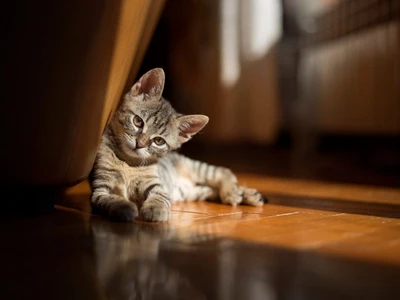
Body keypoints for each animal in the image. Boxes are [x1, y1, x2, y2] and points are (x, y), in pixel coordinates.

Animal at [92, 68, 264, 223]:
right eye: (138, 121)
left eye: (159, 141)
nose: (139, 144)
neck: (128, 162)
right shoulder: (100, 190)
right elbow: (109, 200)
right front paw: (124, 207)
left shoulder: (157, 186)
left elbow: (159, 197)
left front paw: (155, 210)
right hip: (193, 192)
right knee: (210, 189)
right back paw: (246, 195)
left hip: (195, 167)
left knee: (223, 171)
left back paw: (234, 192)